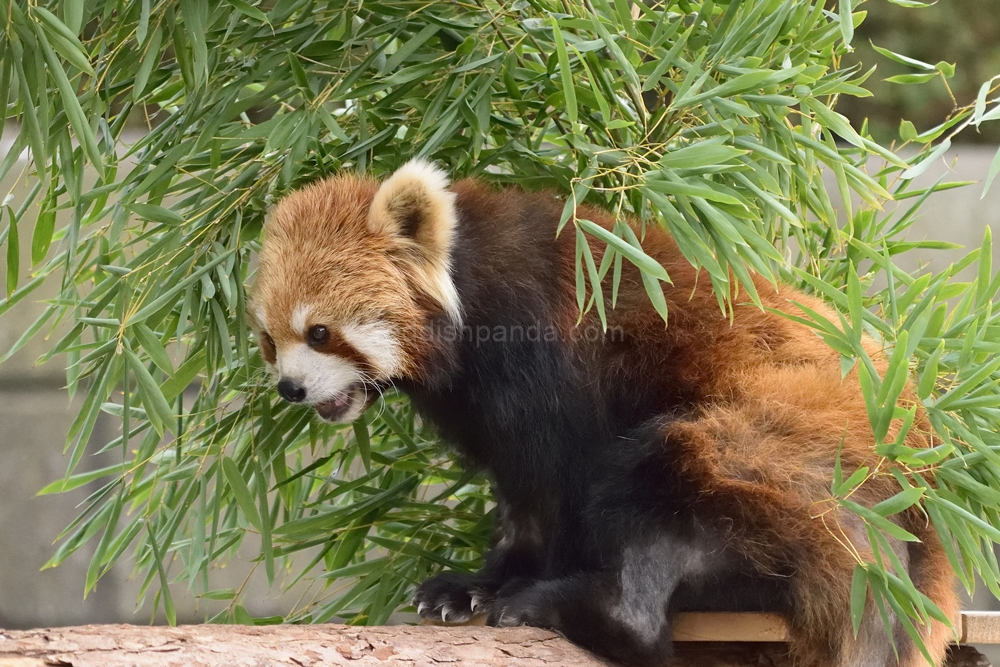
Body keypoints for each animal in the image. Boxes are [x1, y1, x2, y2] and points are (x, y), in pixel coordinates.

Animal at [248, 160, 952, 667]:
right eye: (269, 342)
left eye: (319, 333)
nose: (289, 389)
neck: (470, 288)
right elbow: (520, 494)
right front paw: (471, 585)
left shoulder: (541, 354)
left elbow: (554, 484)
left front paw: (510, 581)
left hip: (778, 450)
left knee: (655, 482)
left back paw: (577, 608)